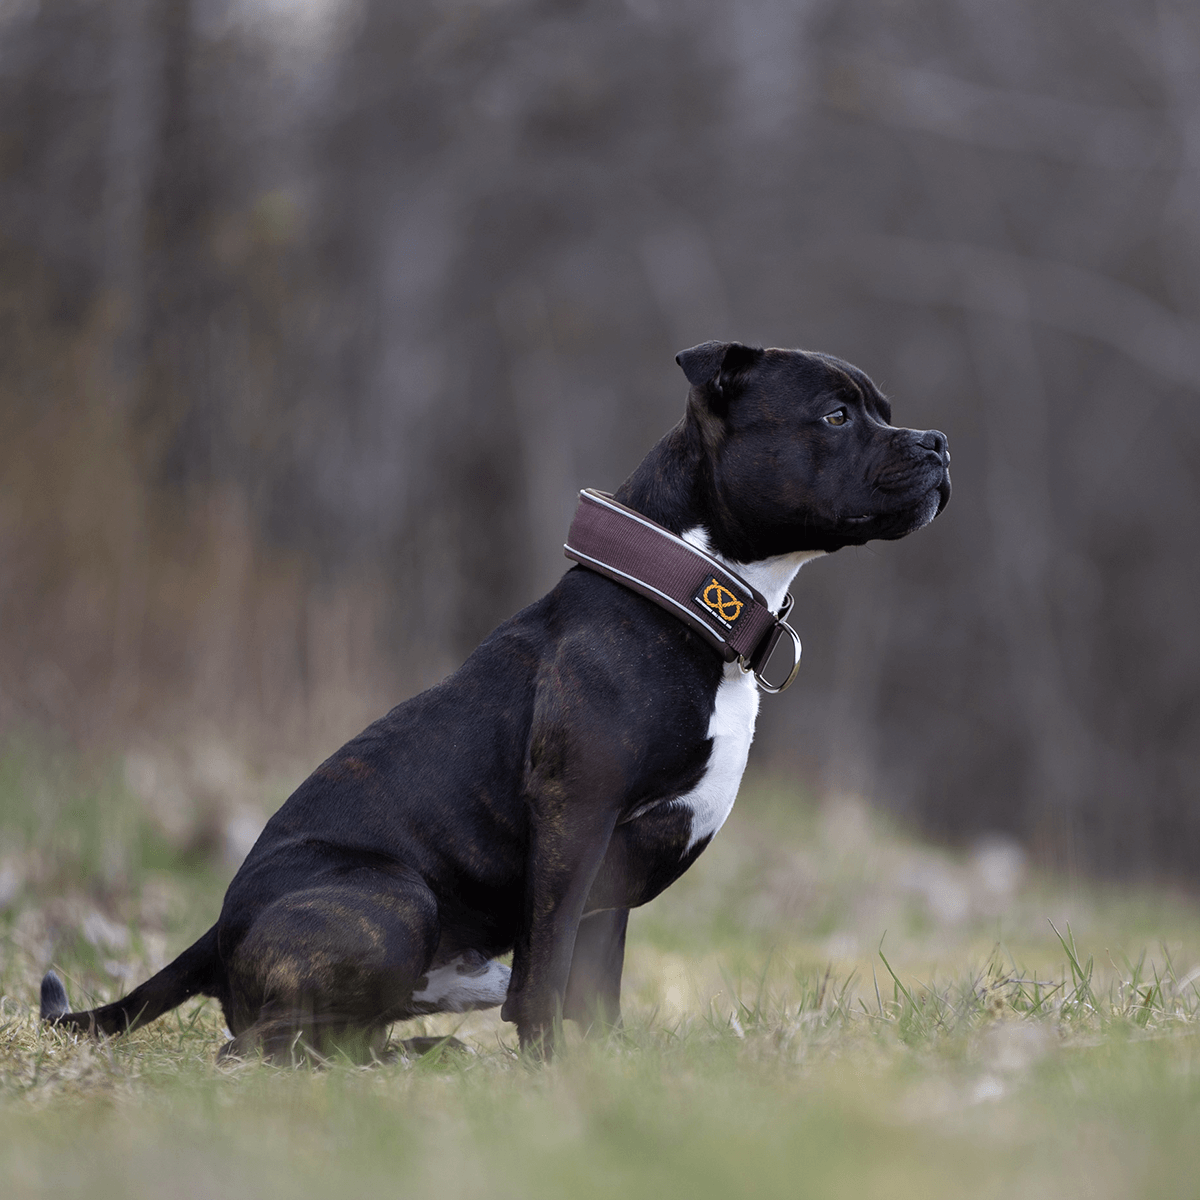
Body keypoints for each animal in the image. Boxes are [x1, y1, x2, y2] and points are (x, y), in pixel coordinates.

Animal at [42, 340, 950, 1060]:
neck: (686, 597)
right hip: (394, 902)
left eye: (884, 412)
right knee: (258, 1047)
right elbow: (547, 978)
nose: (938, 441)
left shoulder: (613, 874)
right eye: (835, 416)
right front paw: (550, 1074)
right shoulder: (575, 821)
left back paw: (420, 1052)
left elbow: (598, 987)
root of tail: (216, 932)